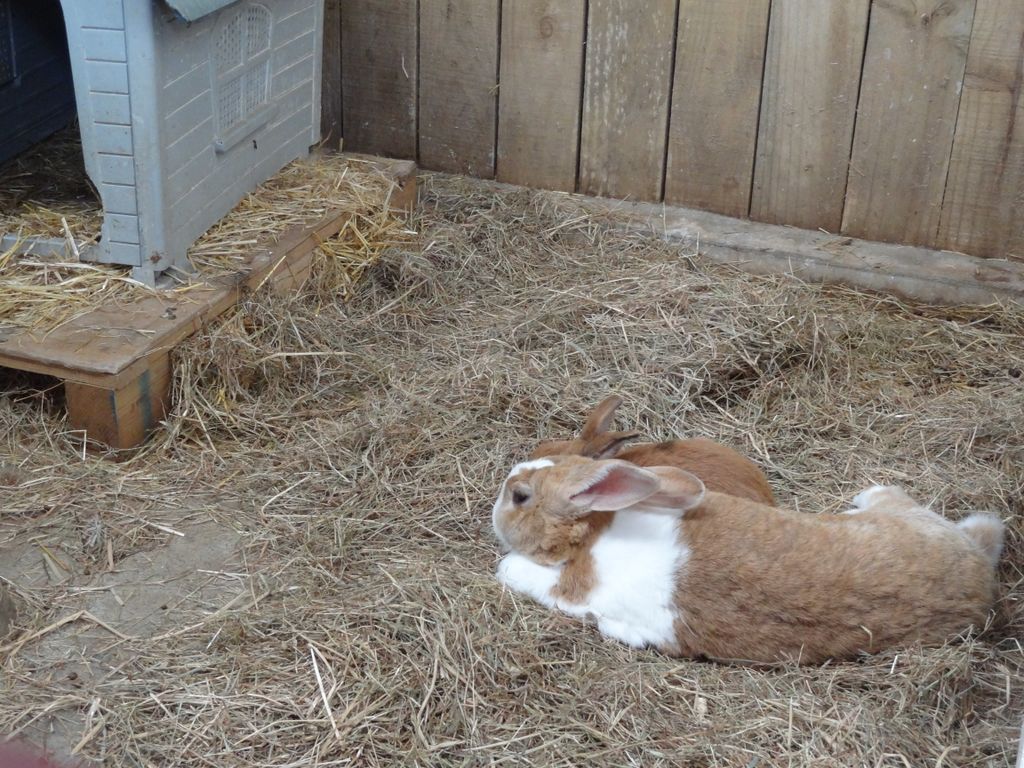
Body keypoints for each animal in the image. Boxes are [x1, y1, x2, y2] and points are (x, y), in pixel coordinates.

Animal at [491, 455, 1004, 664]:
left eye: (520, 497)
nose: (500, 496)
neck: (591, 536)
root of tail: (980, 570)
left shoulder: (570, 589)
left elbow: (523, 575)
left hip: (899, 510)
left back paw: (862, 496)